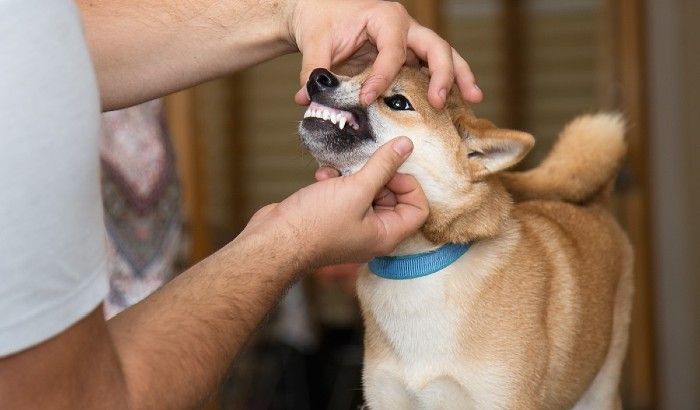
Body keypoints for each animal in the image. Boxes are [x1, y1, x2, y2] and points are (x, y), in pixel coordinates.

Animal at [296, 67, 636, 410]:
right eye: (359, 73)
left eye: (398, 102)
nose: (319, 76)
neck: (418, 263)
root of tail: (597, 203)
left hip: (600, 390)